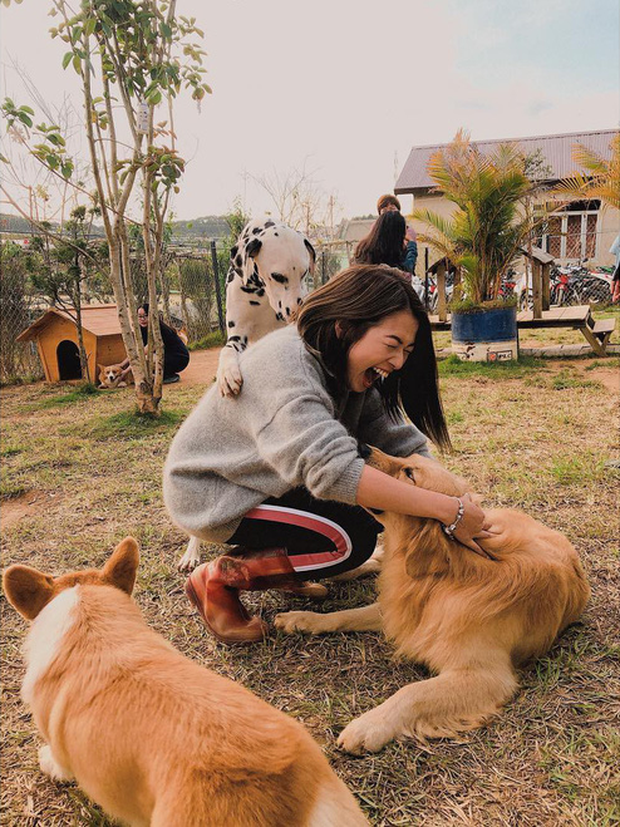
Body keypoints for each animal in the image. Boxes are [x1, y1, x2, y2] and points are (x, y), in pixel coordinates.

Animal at [217, 218, 314, 400]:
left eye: (304, 273)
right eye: (277, 276)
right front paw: (227, 374)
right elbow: (226, 350)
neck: (261, 295)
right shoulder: (237, 336)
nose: (297, 311)